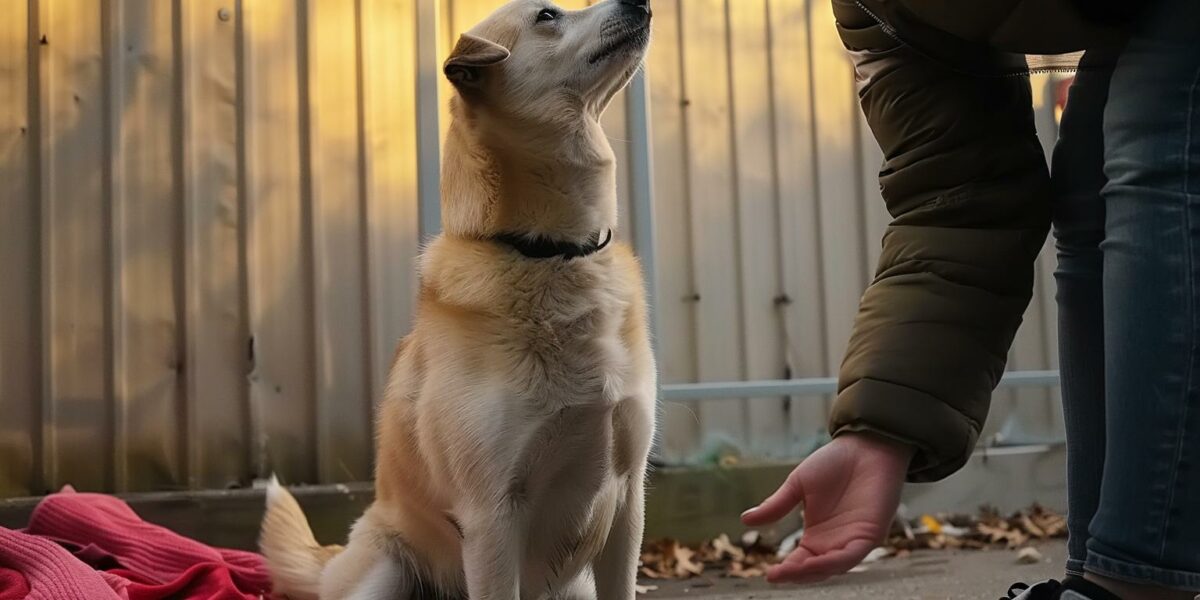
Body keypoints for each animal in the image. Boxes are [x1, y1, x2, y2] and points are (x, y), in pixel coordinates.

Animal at [259, 2, 662, 597]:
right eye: (548, 13)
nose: (643, 4)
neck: (549, 253)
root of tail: (332, 561)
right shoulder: (491, 515)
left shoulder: (628, 499)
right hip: (386, 567)